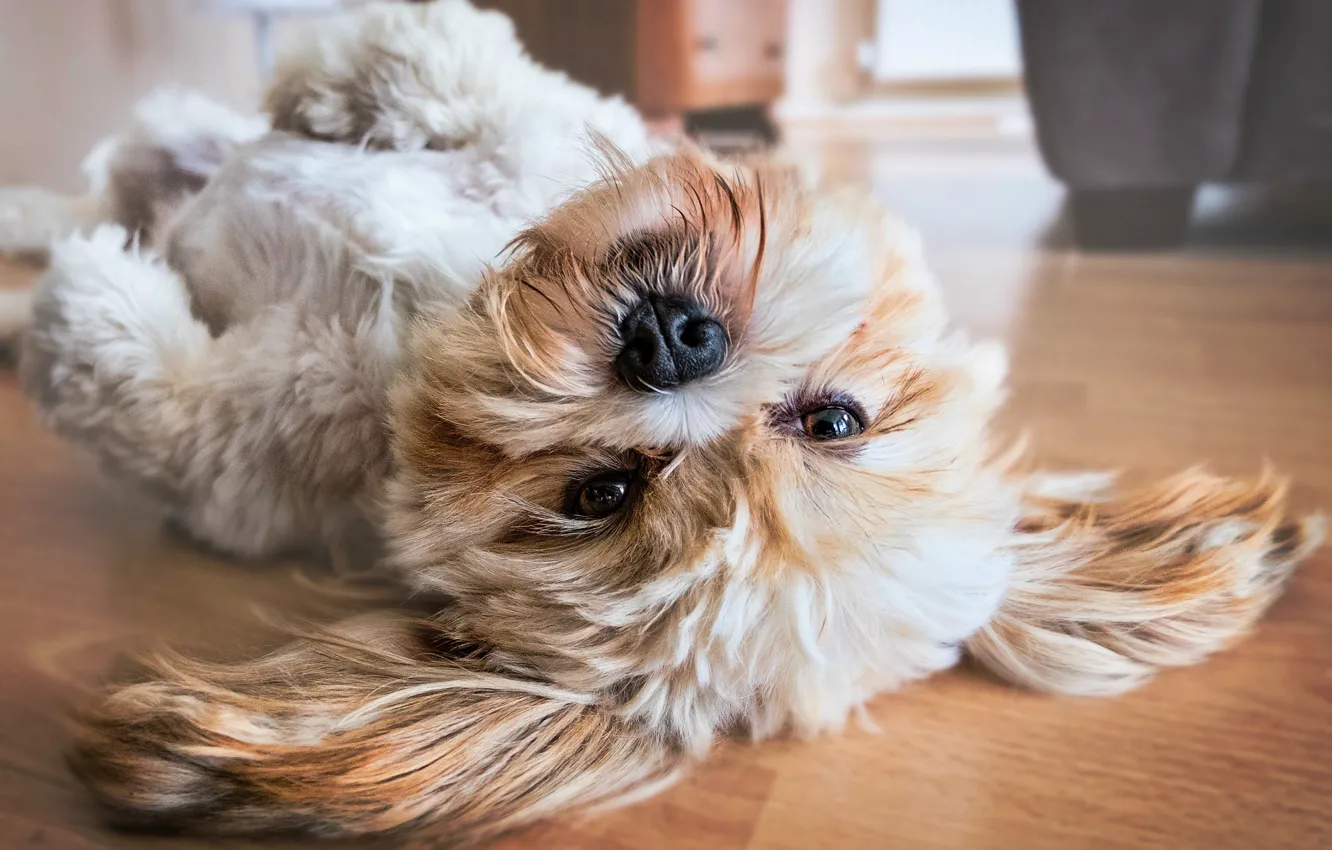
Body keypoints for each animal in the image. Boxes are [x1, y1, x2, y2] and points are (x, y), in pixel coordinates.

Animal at [5, 0, 1326, 847]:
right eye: (833, 418)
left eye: (600, 493)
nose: (670, 341)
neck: (432, 314)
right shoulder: (537, 127)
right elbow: (457, 71)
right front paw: (340, 78)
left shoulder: (245, 460)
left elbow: (151, 392)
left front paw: (88, 301)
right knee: (122, 162)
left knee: (96, 214)